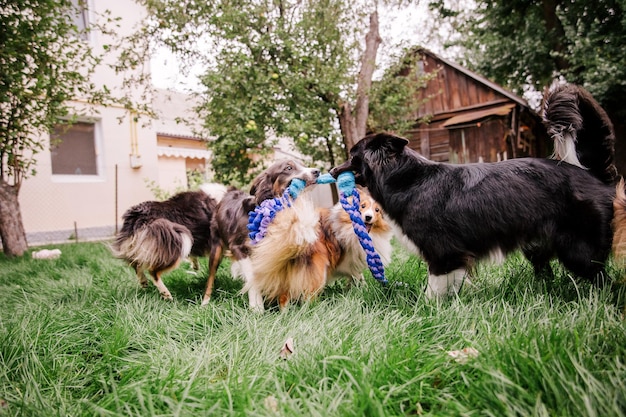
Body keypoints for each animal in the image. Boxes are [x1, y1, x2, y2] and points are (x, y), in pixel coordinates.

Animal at [201, 159, 320, 308]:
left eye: (303, 165)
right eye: (288, 168)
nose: (317, 171)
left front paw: (284, 308)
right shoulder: (237, 247)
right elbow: (252, 276)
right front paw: (256, 306)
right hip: (216, 248)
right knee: (211, 277)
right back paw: (205, 302)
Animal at [246, 186, 392, 308]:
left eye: (377, 210)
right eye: (362, 206)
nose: (368, 217)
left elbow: (357, 276)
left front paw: (360, 288)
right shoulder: (348, 260)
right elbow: (356, 274)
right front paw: (363, 288)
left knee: (284, 297)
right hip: (318, 272)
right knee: (307, 297)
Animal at [330, 84, 624, 298]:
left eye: (352, 156)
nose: (332, 171)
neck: (409, 180)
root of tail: (593, 173)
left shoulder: (443, 253)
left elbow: (432, 290)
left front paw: (427, 311)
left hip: (579, 251)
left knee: (604, 281)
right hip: (538, 246)